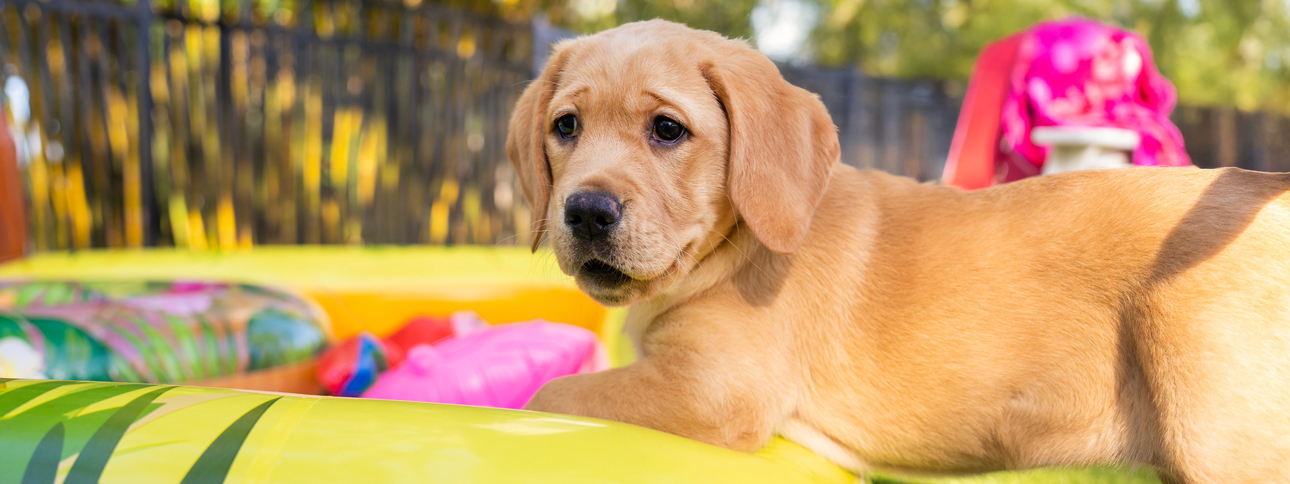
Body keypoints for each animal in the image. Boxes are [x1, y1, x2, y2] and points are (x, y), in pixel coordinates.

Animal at [507, 20, 1290, 483]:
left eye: (667, 130)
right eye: (566, 126)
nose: (586, 211)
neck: (732, 247)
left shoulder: (712, 388)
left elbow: (551, 394)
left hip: (1223, 443)